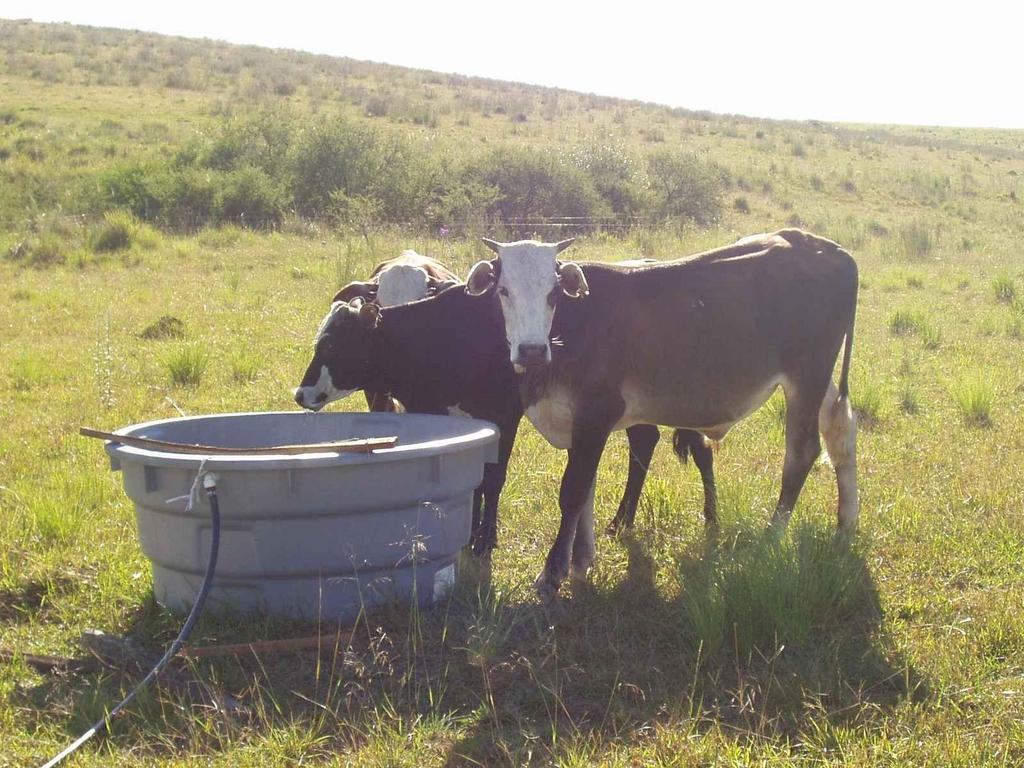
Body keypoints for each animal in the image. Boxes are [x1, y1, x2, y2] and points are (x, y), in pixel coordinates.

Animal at [292, 274, 716, 557]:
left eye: (333, 344)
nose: (301, 393)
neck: (446, 334)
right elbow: (476, 479)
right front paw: (472, 533)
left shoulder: (504, 415)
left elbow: (494, 479)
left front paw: (485, 539)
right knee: (646, 442)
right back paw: (621, 522)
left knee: (699, 448)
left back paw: (710, 519)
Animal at [468, 230, 860, 602]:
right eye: (503, 290)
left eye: (553, 294)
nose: (531, 350)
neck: (572, 327)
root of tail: (824, 246)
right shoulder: (577, 426)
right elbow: (586, 491)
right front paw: (581, 559)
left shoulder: (596, 415)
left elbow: (574, 492)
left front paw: (553, 572)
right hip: (819, 382)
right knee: (841, 433)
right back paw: (846, 523)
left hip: (806, 377)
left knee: (802, 453)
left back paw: (773, 535)